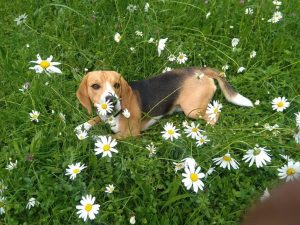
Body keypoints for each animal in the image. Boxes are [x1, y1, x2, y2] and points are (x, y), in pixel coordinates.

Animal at [75, 67, 253, 139]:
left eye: (117, 85)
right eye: (95, 86)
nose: (111, 100)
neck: (113, 115)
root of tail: (201, 70)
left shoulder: (130, 135)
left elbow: (107, 137)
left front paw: (90, 137)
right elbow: (95, 119)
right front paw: (83, 126)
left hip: (192, 110)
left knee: (214, 114)